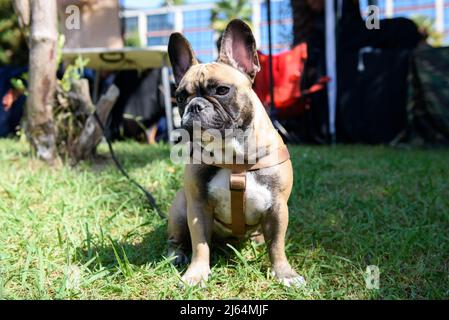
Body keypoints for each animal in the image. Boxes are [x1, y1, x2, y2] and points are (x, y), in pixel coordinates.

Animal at [166, 19, 302, 288]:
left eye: (221, 90)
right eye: (180, 96)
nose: (195, 106)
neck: (234, 157)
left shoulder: (278, 208)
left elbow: (277, 246)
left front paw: (285, 273)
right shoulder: (197, 209)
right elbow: (200, 245)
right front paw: (196, 274)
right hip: (179, 211)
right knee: (177, 241)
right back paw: (176, 256)